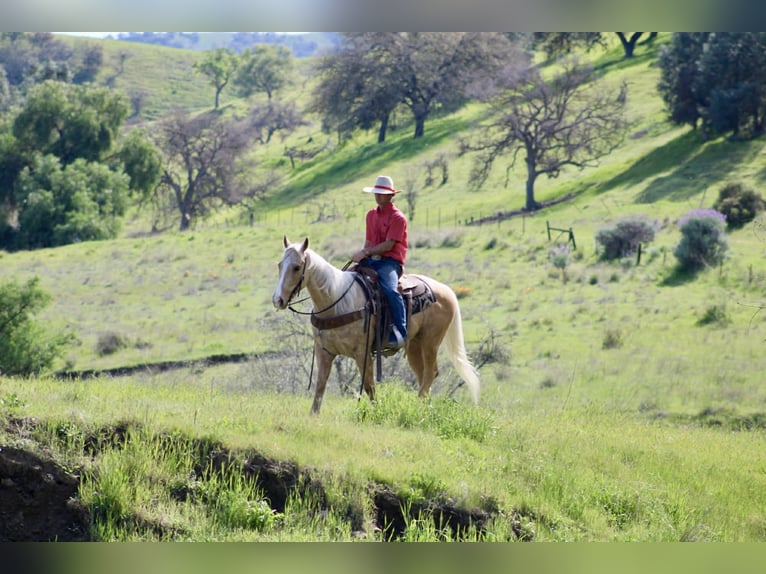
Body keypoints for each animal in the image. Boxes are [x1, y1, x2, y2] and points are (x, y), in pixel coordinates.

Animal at [272, 236, 480, 414]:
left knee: (429, 373)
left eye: (297, 267)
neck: (337, 302)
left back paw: (417, 407)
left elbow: (369, 386)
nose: (278, 300)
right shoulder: (324, 352)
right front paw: (313, 415)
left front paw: (376, 412)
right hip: (414, 345)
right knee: (424, 375)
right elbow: (320, 385)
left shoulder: (362, 354)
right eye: (280, 265)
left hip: (430, 342)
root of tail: (446, 290)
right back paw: (424, 408)